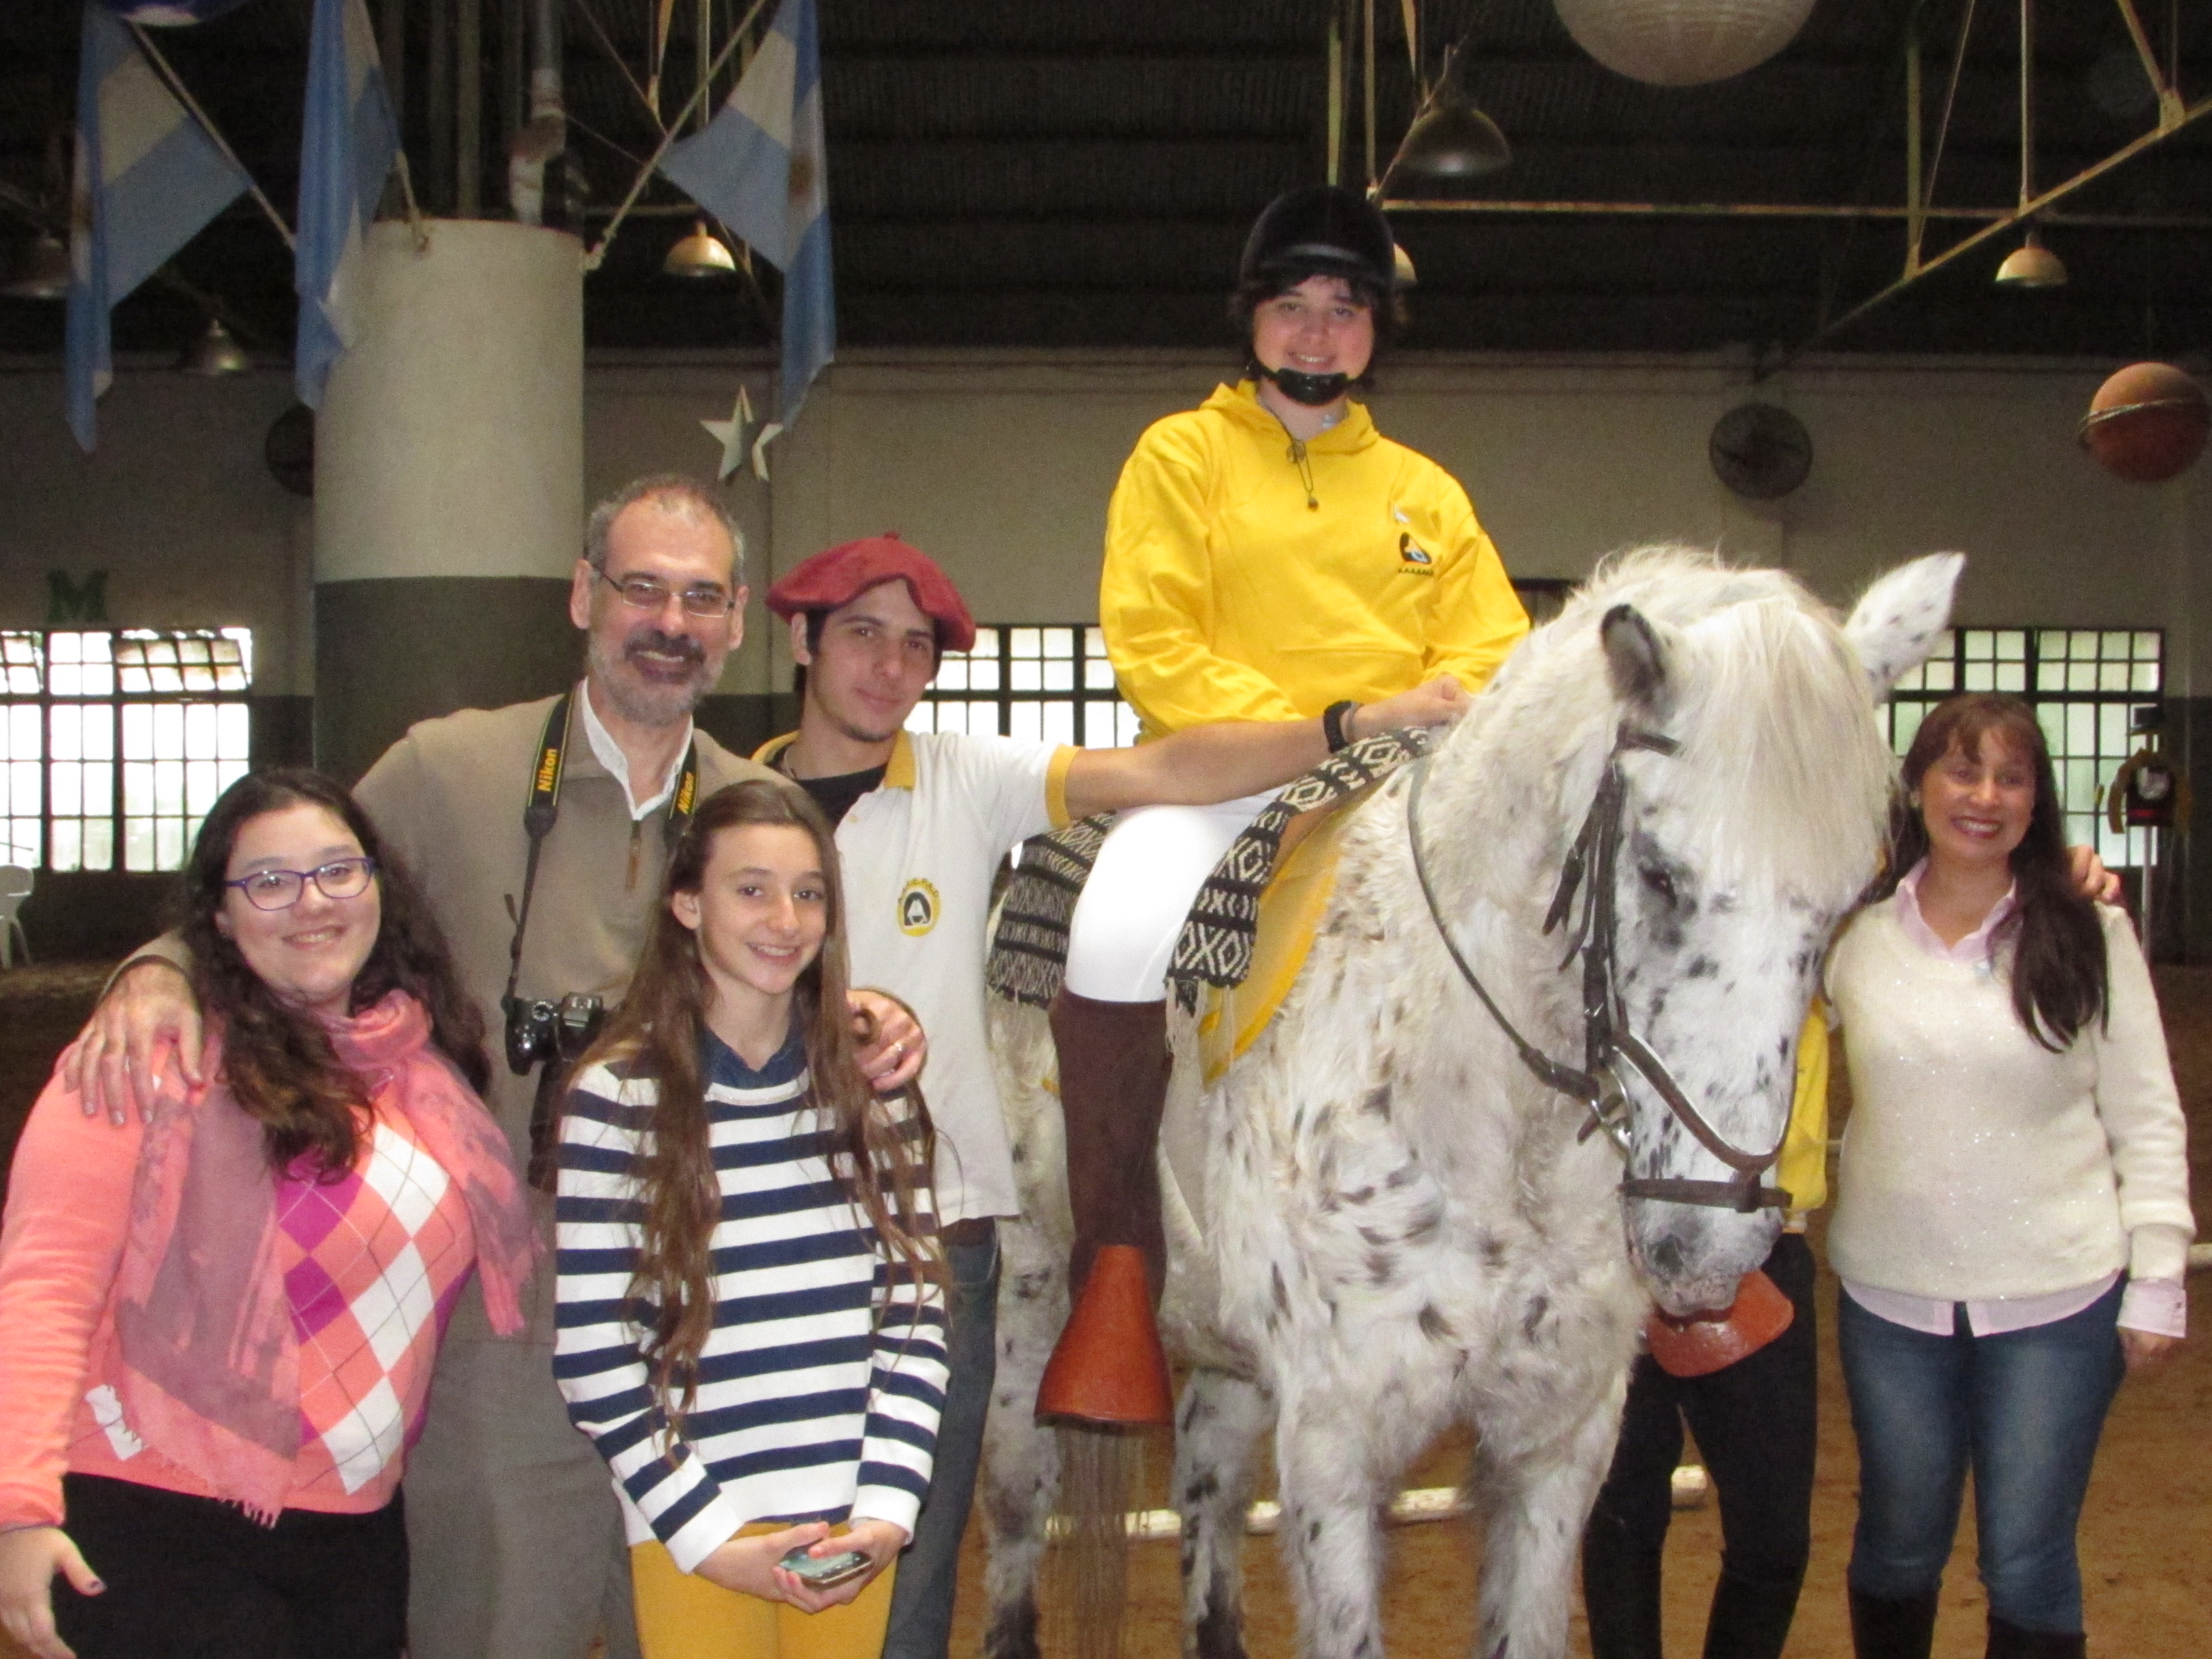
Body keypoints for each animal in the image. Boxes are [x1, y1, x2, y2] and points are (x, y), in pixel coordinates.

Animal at [979, 547, 1963, 1659]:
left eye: (1848, 900)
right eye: (1661, 875)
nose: (1709, 1250)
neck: (1487, 1120)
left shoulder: (1558, 1444)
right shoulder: (1335, 1451)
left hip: (1228, 1363)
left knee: (1209, 1503)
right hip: (1028, 1315)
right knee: (1018, 1523)